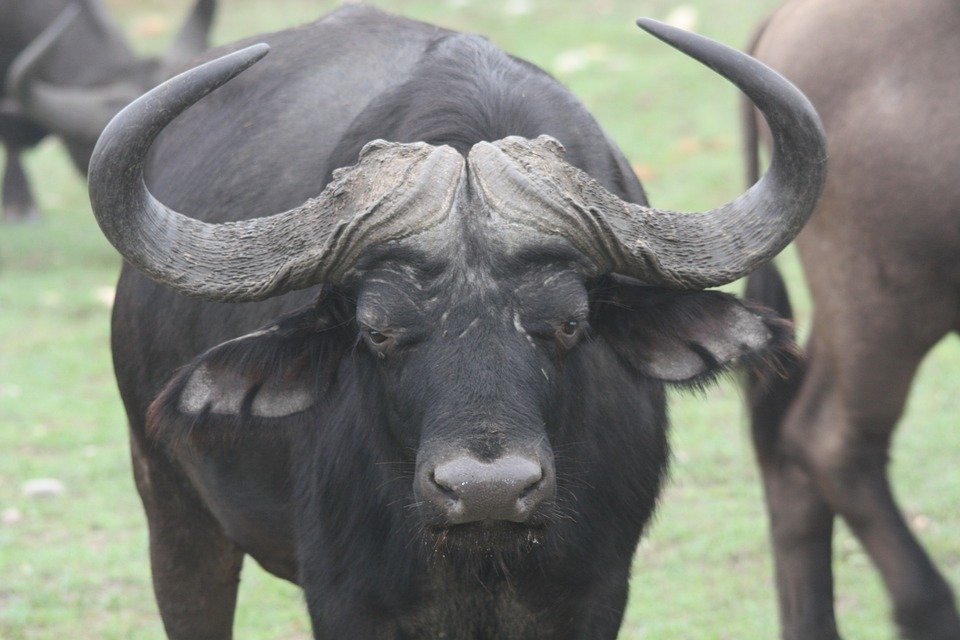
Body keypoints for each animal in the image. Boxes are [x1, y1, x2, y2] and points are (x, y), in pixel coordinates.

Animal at [88, 6, 826, 638]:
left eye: (570, 323)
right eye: (377, 331)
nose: (487, 493)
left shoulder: (596, 593)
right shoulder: (345, 600)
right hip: (173, 511)